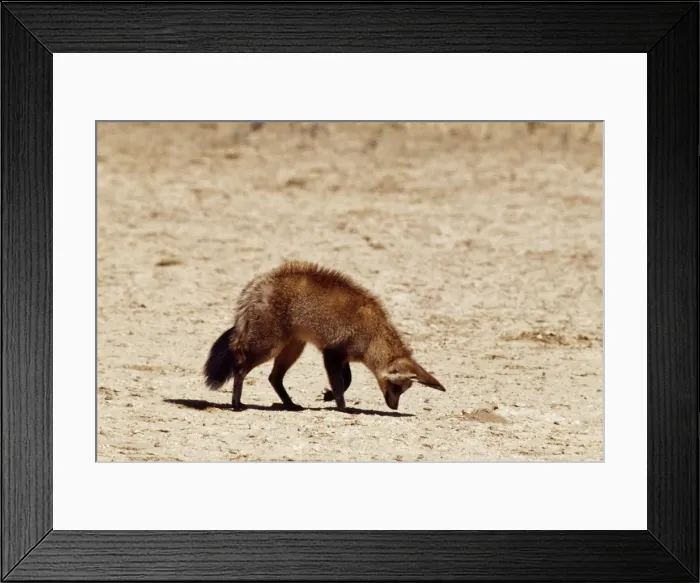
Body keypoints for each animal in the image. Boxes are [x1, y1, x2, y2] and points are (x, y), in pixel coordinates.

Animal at [203, 261, 445, 412]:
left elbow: (347, 380)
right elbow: (340, 383)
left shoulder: (341, 357)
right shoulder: (331, 353)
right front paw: (343, 407)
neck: (373, 336)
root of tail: (258, 284)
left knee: (274, 377)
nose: (394, 407)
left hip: (293, 347)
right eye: (397, 388)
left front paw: (329, 397)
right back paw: (237, 404)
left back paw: (290, 405)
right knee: (240, 367)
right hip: (268, 346)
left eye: (404, 390)